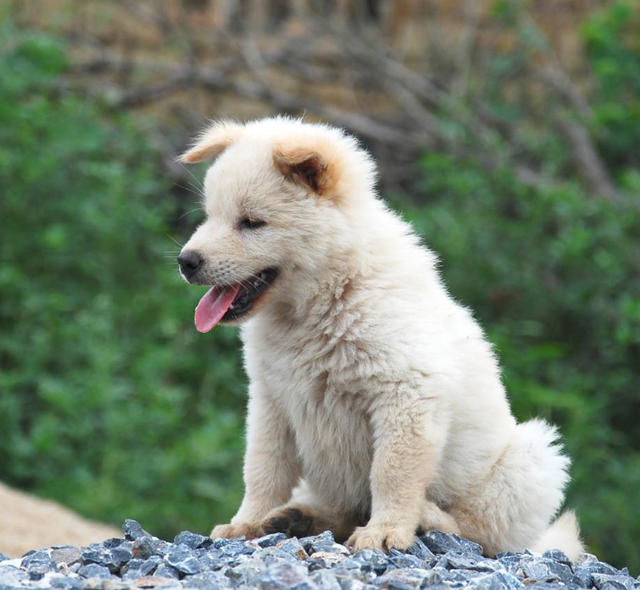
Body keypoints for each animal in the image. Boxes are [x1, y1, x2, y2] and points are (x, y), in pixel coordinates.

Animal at [178, 118, 584, 560]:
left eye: (252, 222)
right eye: (209, 215)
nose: (186, 261)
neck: (327, 294)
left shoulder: (404, 393)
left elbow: (391, 472)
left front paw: (387, 532)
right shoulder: (272, 398)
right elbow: (263, 466)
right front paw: (246, 523)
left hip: (534, 457)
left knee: (483, 533)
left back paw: (427, 518)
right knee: (341, 510)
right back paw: (298, 518)